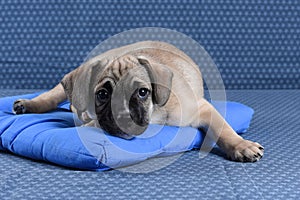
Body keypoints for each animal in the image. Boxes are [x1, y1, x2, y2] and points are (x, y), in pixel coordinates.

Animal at [12, 41, 264, 162]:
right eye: (102, 95)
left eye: (143, 92)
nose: (123, 115)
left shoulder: (201, 109)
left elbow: (223, 129)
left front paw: (241, 146)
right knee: (54, 96)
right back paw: (29, 104)